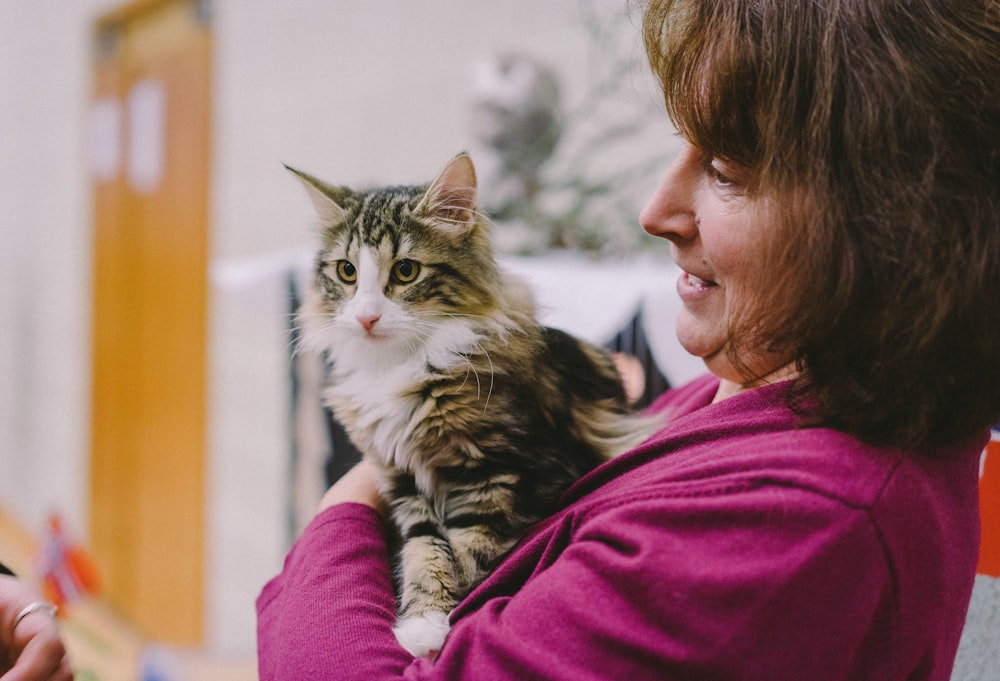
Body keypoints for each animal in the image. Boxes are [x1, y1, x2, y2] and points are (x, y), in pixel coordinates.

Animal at [290, 154, 664, 660]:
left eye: (405, 271)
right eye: (347, 272)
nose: (366, 317)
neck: (402, 363)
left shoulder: (503, 474)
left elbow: (467, 552)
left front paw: (440, 630)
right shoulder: (402, 481)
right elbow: (424, 548)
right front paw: (424, 620)